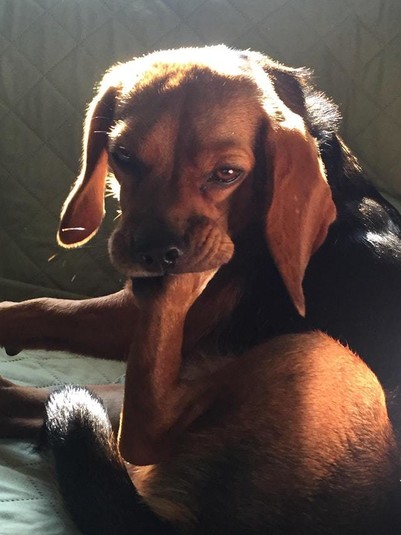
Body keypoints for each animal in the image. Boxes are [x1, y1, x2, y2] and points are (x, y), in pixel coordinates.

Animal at [1, 45, 401, 533]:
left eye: (227, 173)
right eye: (123, 155)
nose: (156, 255)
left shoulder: (139, 314)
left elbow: (45, 308)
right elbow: (40, 309)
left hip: (315, 352)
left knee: (142, 433)